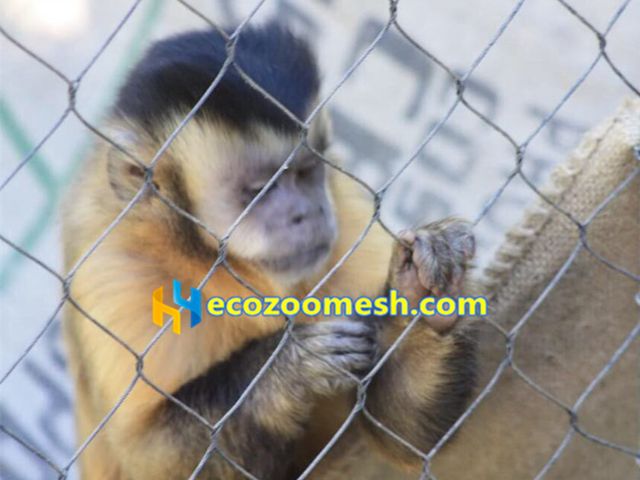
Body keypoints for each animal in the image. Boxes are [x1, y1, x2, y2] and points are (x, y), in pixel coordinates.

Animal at [61, 23, 477, 479]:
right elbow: (143, 459)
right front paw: (286, 370)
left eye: (306, 173)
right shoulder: (115, 274)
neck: (213, 264)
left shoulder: (344, 207)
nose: (306, 212)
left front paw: (421, 297)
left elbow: (406, 441)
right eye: (262, 190)